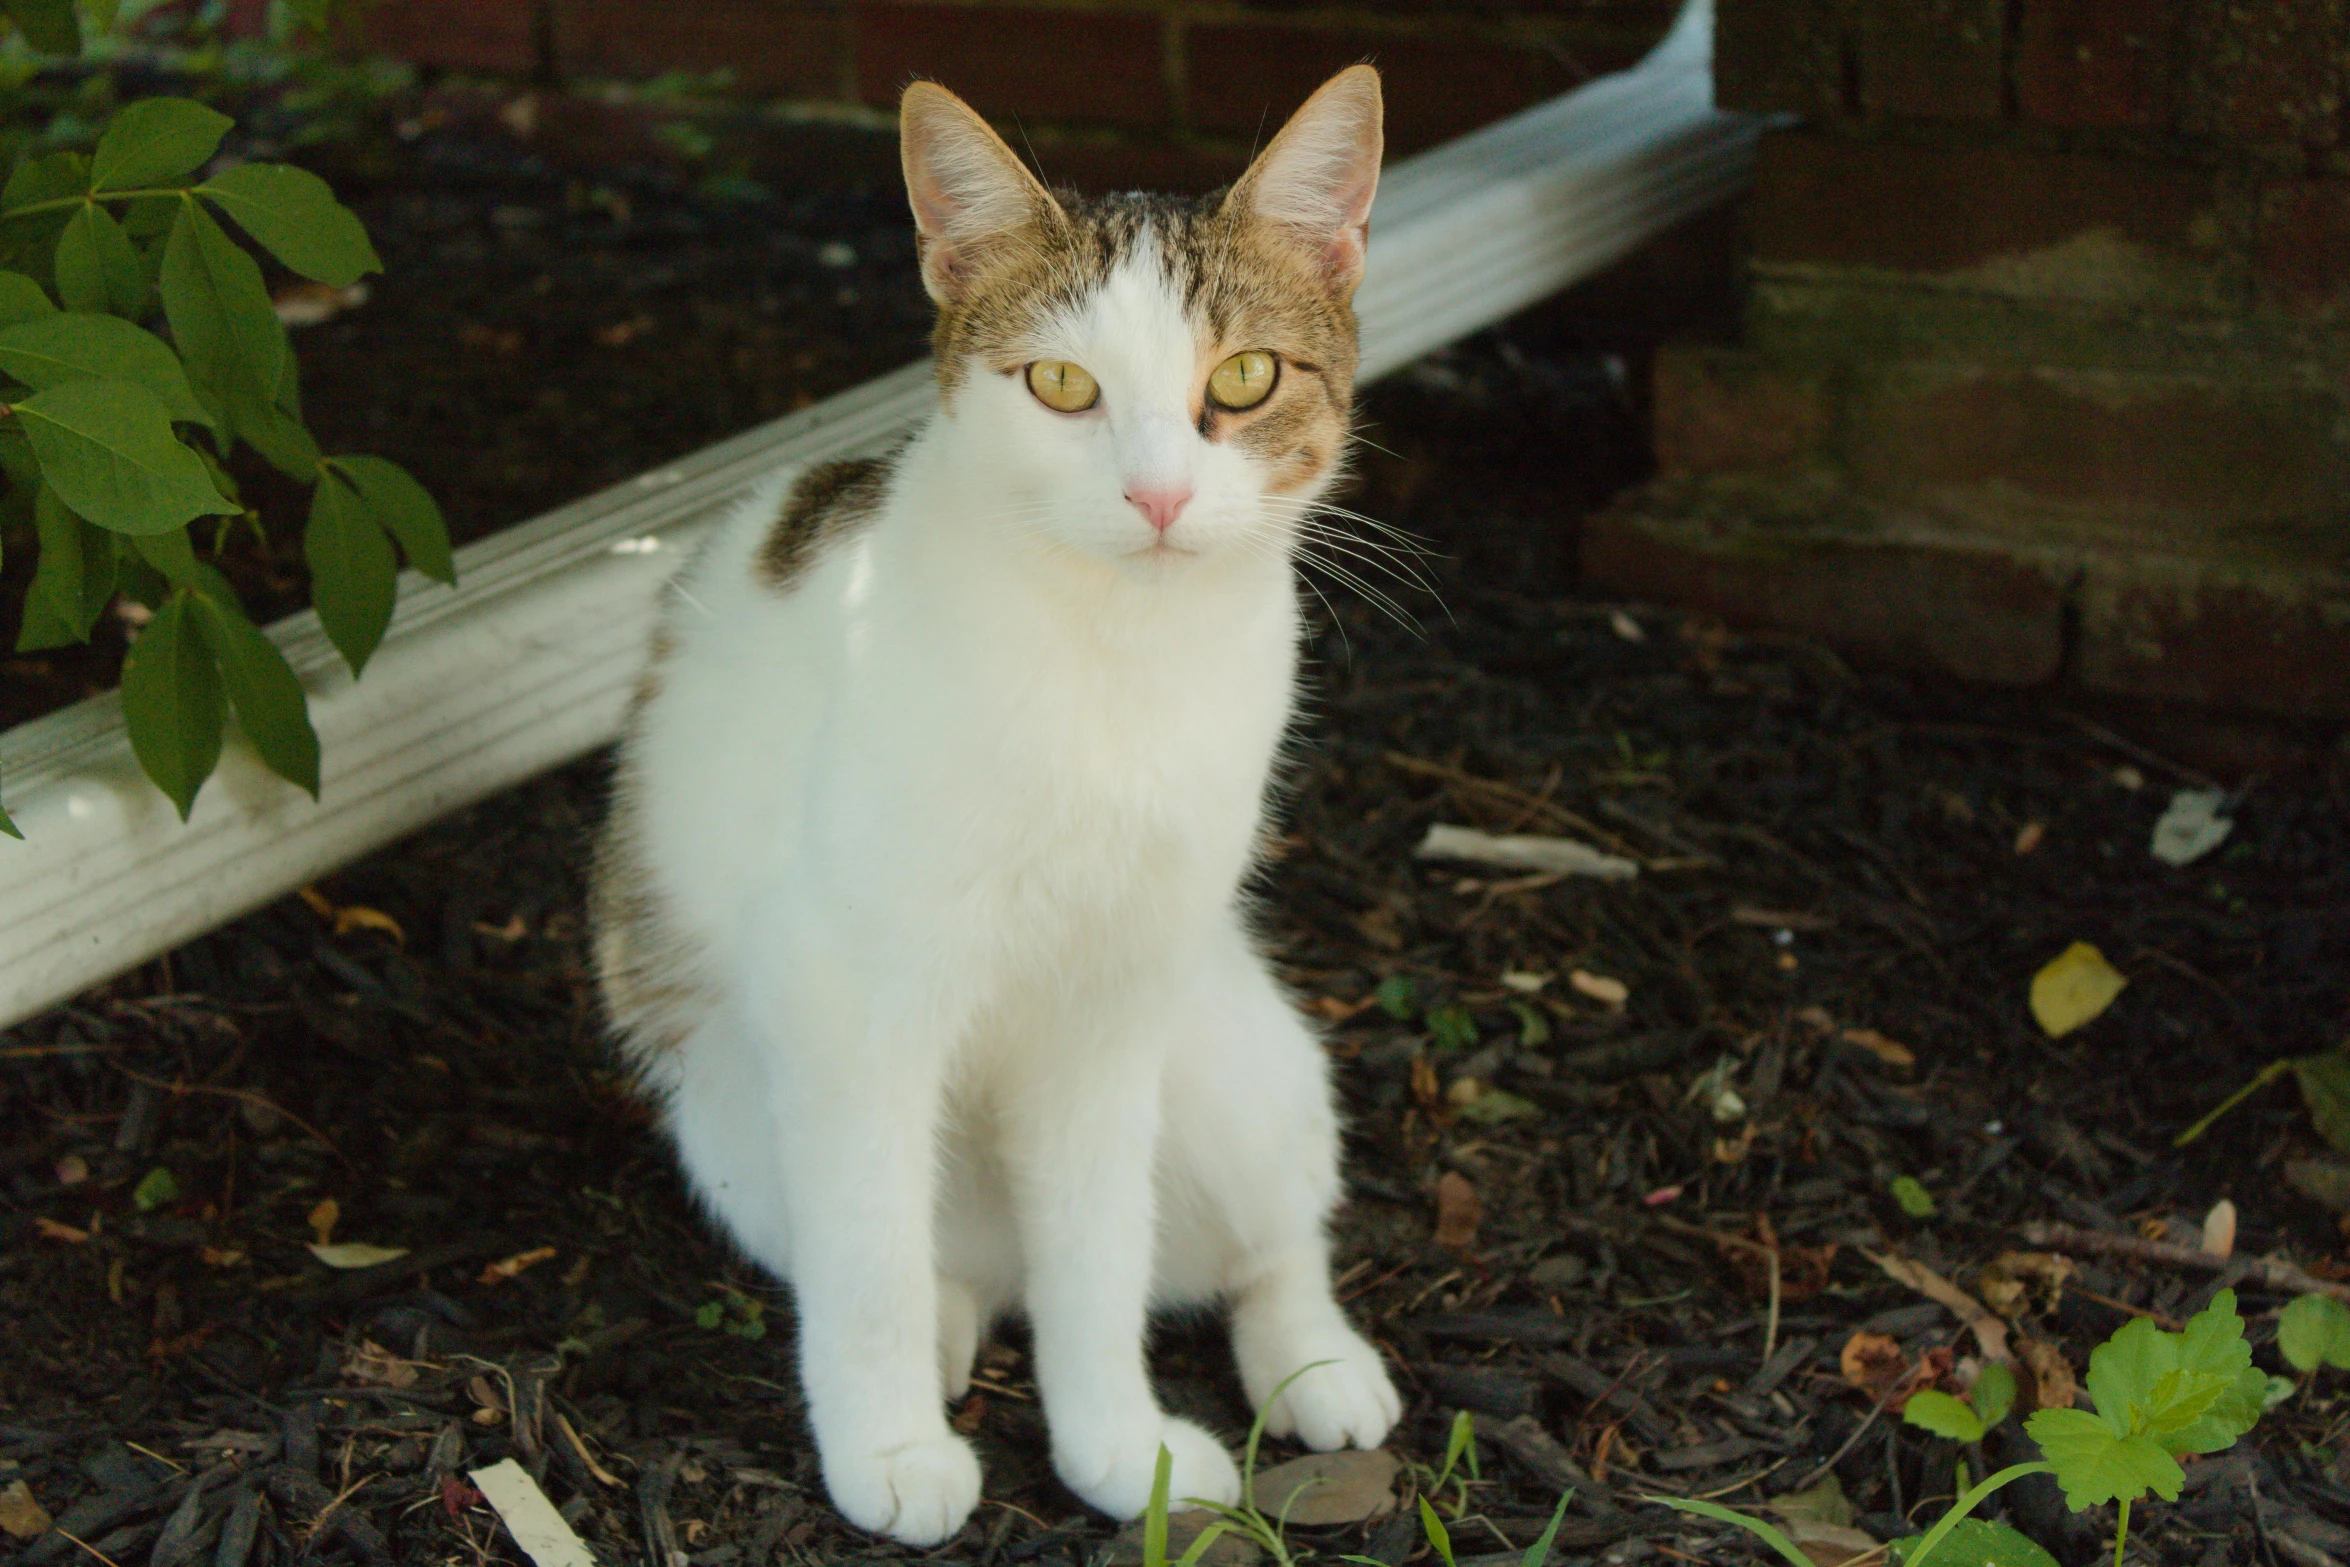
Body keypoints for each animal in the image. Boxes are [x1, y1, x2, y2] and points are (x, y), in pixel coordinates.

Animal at [596, 67, 1391, 1550]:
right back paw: (949, 1334)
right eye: (1063, 386)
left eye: (1244, 378)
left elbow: (1099, 1252)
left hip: (1234, 1064)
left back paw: (1314, 1359)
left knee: (1272, 1234)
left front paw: (1115, 1446)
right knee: (916, 1255)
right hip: (736, 1124)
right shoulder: (843, 995)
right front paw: (890, 1444)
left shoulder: (1112, 1003)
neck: (1114, 655)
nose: (1157, 493)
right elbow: (868, 1261)